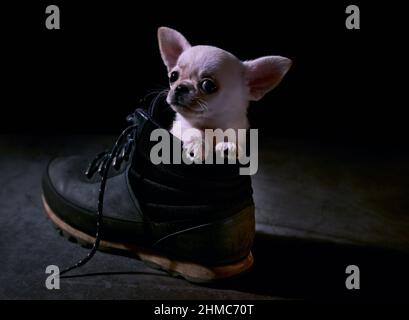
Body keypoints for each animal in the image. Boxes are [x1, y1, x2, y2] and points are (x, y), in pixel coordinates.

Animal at [156, 26, 290, 162]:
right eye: (173, 76)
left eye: (208, 85)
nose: (180, 87)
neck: (211, 128)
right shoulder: (181, 127)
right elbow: (193, 131)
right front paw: (196, 145)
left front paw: (229, 147)